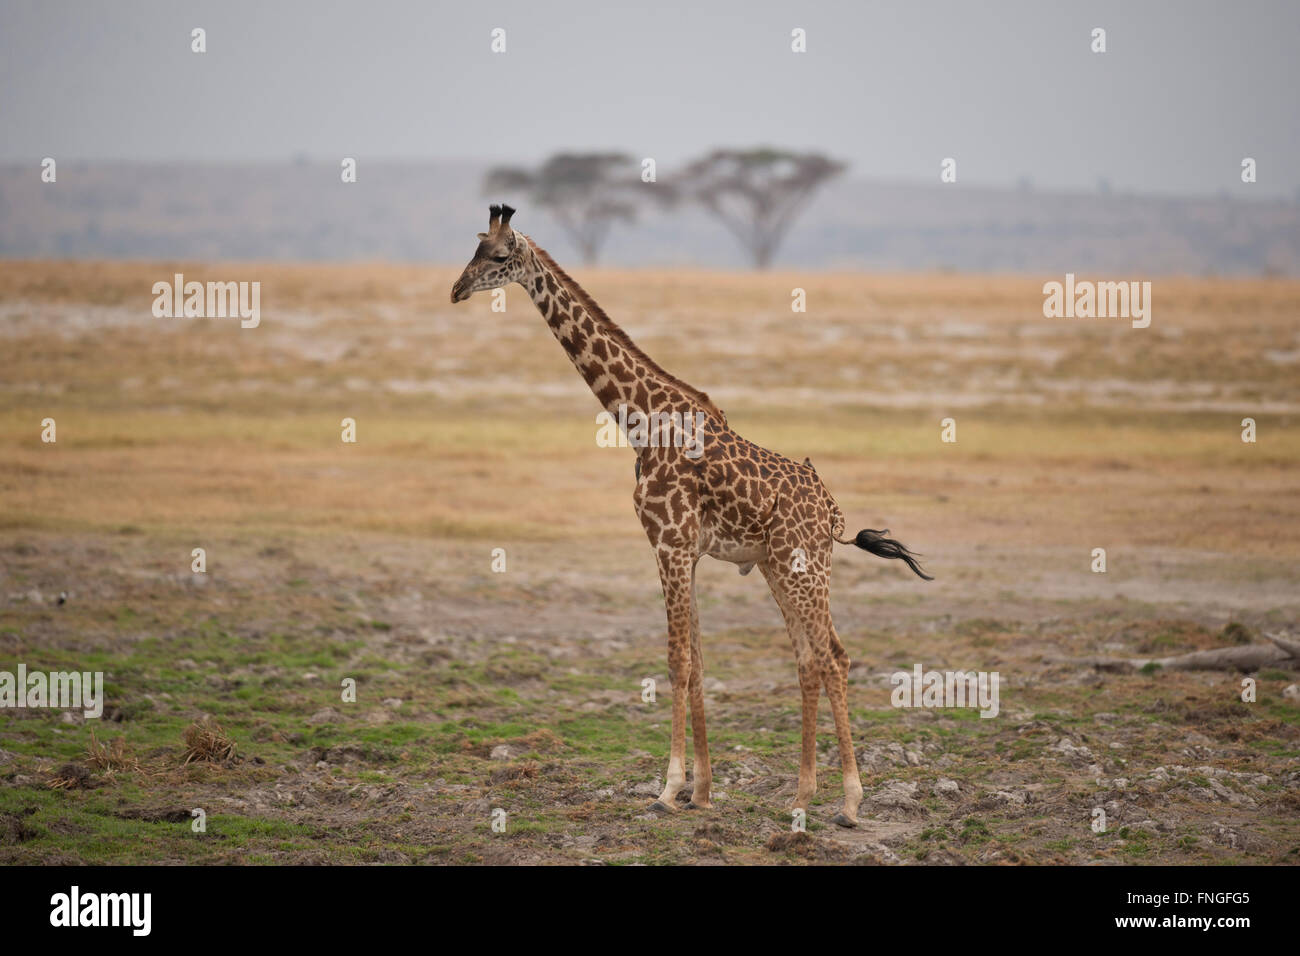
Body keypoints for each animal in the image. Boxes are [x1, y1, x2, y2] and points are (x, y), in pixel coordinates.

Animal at [452, 205, 930, 827]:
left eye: (500, 255)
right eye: (474, 247)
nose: (457, 289)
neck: (641, 421)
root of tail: (831, 512)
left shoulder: (669, 545)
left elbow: (677, 660)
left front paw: (667, 789)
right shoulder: (688, 552)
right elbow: (699, 659)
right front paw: (701, 792)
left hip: (805, 566)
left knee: (834, 656)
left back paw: (849, 802)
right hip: (779, 566)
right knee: (808, 658)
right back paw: (801, 795)